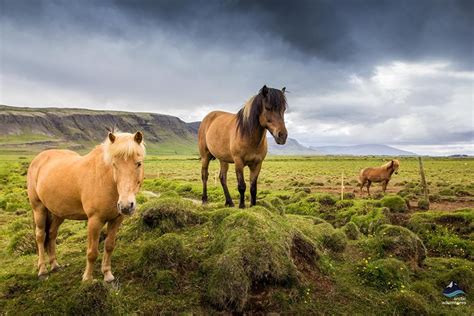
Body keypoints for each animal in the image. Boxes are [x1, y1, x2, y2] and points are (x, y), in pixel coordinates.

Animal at [27, 131, 144, 282]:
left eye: (139, 163)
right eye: (114, 164)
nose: (125, 206)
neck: (105, 180)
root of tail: (38, 159)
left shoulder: (116, 219)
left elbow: (109, 246)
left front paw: (108, 275)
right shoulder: (95, 220)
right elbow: (92, 252)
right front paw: (87, 278)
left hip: (58, 213)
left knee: (52, 234)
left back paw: (54, 265)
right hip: (38, 208)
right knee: (41, 236)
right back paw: (42, 271)